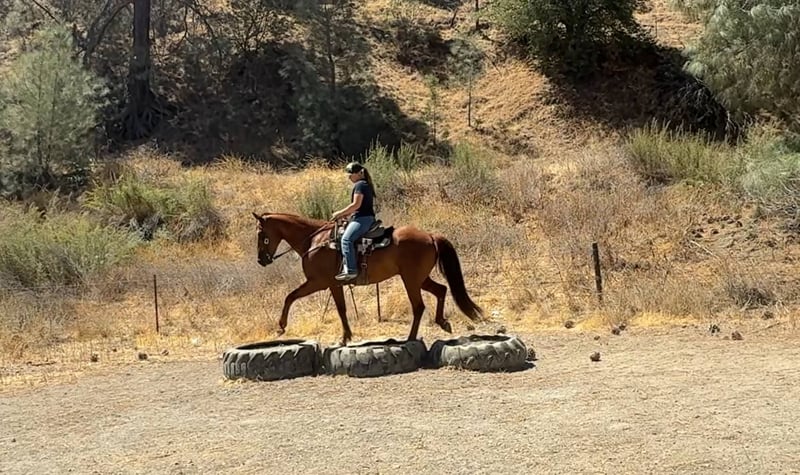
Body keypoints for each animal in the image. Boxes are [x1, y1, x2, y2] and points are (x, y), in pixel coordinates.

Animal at [252, 212, 483, 345]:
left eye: (260, 233)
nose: (261, 260)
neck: (314, 241)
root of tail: (429, 236)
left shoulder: (320, 283)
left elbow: (291, 297)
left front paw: (281, 326)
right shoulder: (333, 285)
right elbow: (341, 309)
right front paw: (346, 337)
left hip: (410, 280)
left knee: (418, 306)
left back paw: (410, 338)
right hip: (420, 279)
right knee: (441, 290)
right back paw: (442, 322)